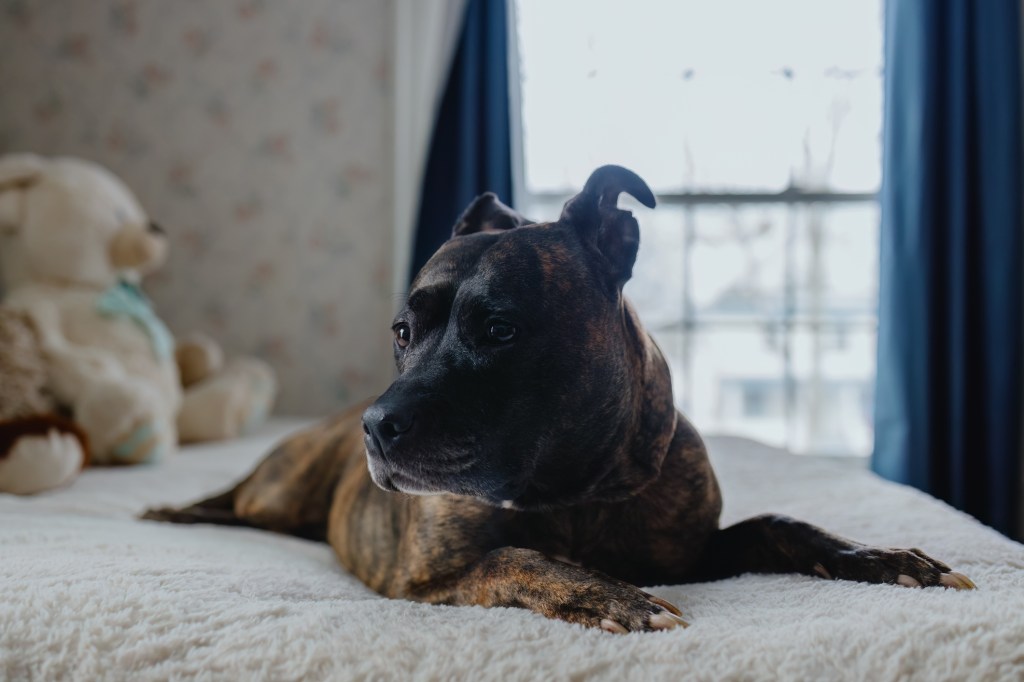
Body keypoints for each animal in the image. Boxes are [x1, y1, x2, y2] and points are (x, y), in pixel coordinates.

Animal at [142, 165, 966, 630]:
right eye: (403, 332)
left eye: (499, 328)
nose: (376, 426)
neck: (577, 485)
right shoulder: (429, 578)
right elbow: (516, 555)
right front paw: (612, 596)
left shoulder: (695, 553)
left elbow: (782, 524)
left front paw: (882, 557)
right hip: (280, 489)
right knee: (238, 498)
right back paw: (177, 511)